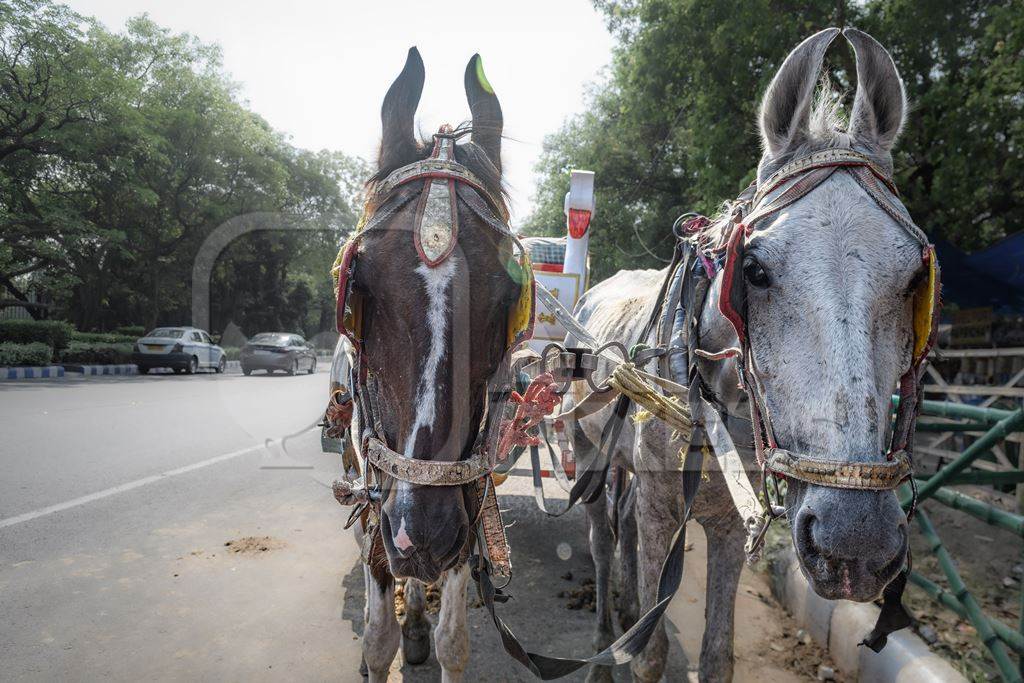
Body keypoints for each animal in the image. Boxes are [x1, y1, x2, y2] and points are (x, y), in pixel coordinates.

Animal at [577, 28, 921, 683]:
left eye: (917, 278)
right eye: (754, 270)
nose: (855, 542)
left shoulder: (734, 525)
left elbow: (718, 654)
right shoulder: (662, 509)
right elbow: (653, 651)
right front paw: (632, 644)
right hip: (590, 450)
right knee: (604, 538)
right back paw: (607, 631)